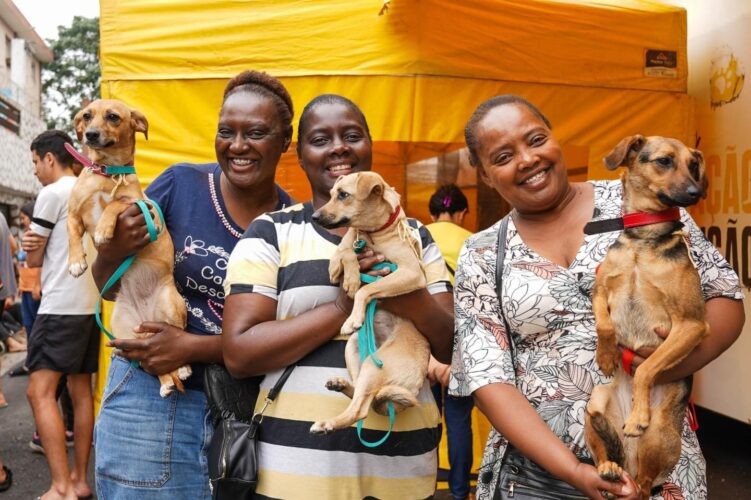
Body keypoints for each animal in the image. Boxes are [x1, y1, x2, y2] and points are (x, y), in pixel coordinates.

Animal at [67, 97, 191, 396]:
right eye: (87, 116)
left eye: (113, 117)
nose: (90, 135)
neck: (107, 174)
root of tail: (147, 320)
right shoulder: (73, 214)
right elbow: (72, 235)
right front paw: (76, 261)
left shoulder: (139, 205)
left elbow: (115, 204)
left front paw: (103, 229)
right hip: (124, 331)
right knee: (150, 362)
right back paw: (167, 383)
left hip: (172, 306)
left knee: (178, 338)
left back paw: (182, 368)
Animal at [308, 172, 432, 434]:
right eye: (331, 194)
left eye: (343, 195)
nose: (315, 216)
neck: (371, 234)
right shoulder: (344, 251)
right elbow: (344, 254)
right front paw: (350, 277)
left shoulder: (412, 273)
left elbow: (367, 290)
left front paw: (353, 313)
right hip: (354, 349)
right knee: (361, 395)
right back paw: (340, 385)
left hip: (375, 367)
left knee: (361, 409)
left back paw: (328, 423)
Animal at [588, 135, 712, 498]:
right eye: (664, 161)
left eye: (693, 165)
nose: (697, 192)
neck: (644, 240)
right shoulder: (599, 291)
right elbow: (604, 324)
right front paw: (606, 355)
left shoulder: (691, 325)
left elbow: (646, 369)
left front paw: (638, 412)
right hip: (594, 402)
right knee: (604, 452)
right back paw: (609, 468)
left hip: (658, 434)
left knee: (643, 485)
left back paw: (635, 426)